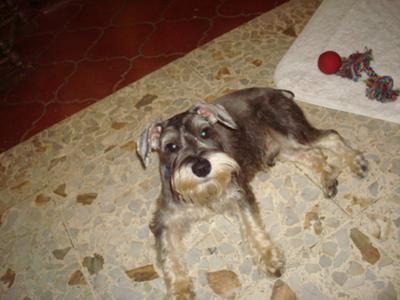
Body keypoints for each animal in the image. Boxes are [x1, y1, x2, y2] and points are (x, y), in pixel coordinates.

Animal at [136, 86, 368, 298]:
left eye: (204, 132)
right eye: (172, 147)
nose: (201, 167)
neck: (205, 193)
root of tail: (276, 91)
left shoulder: (240, 194)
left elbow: (252, 226)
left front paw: (269, 258)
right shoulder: (165, 221)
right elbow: (169, 256)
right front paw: (179, 291)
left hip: (293, 131)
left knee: (330, 137)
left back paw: (356, 163)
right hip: (285, 148)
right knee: (314, 154)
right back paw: (328, 179)